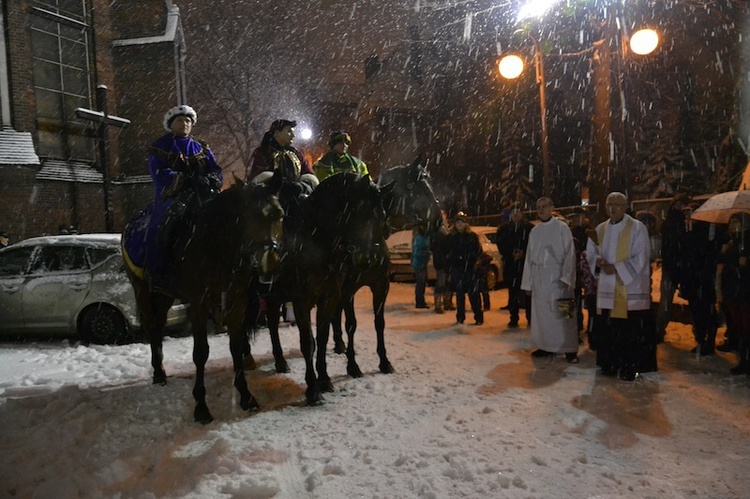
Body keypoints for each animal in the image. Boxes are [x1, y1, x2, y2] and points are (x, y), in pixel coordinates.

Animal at [123, 171, 284, 422]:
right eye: (249, 216)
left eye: (280, 214)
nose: (270, 263)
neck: (219, 244)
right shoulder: (199, 303)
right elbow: (200, 353)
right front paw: (201, 406)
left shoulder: (236, 301)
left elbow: (236, 346)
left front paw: (246, 395)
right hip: (141, 288)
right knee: (150, 325)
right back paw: (158, 373)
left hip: (165, 295)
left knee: (158, 326)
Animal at [258, 174, 394, 404]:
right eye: (357, 211)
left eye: (382, 215)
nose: (364, 259)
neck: (317, 240)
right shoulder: (308, 300)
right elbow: (310, 341)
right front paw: (314, 389)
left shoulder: (348, 293)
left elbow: (324, 337)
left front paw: (325, 378)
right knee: (265, 326)